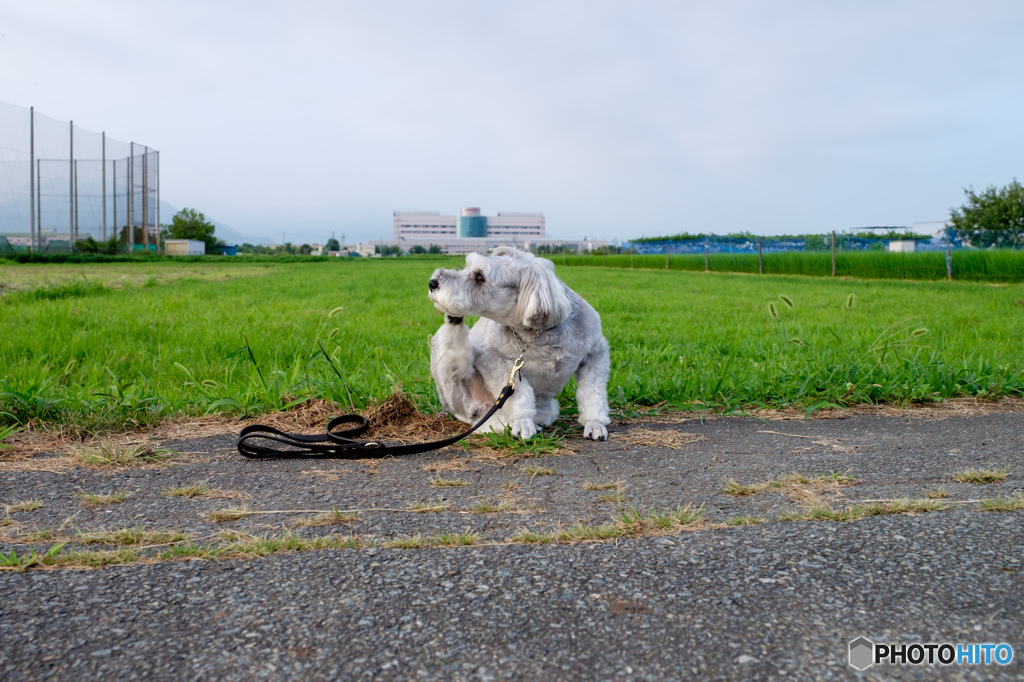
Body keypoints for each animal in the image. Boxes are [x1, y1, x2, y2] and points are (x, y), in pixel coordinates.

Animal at [425, 246, 606, 438]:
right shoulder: (498, 364)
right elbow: (521, 395)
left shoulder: (595, 354)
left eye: (480, 276)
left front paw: (595, 423)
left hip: (549, 408)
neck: (541, 334)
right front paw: (523, 423)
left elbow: (593, 394)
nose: (432, 282)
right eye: (467, 267)